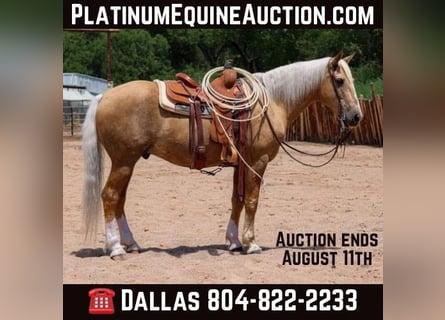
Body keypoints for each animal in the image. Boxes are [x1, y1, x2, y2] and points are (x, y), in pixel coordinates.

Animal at [81, 51, 362, 258]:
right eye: (339, 81)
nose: (356, 116)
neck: (271, 101)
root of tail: (105, 95)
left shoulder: (241, 163)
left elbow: (236, 200)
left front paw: (234, 241)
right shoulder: (257, 162)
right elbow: (252, 201)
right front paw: (250, 243)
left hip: (128, 162)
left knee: (120, 199)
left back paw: (131, 243)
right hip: (123, 161)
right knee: (110, 196)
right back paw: (115, 248)